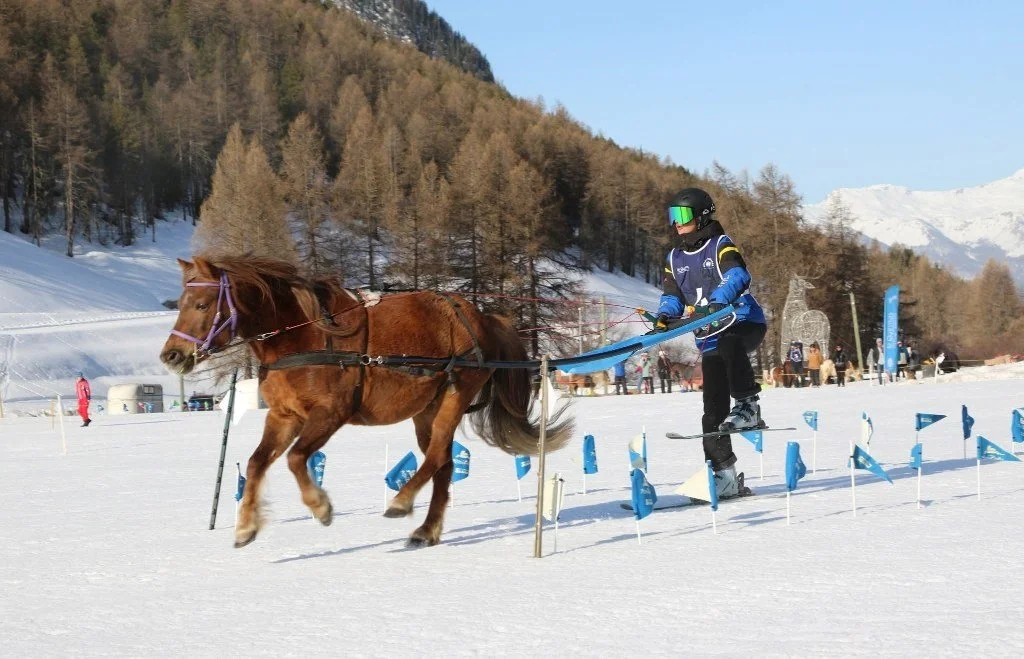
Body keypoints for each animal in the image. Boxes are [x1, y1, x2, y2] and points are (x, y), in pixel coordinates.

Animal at [160, 255, 573, 548]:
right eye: (180, 302)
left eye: (201, 304)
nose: (172, 356)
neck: (302, 335)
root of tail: (482, 317)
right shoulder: (284, 415)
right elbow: (258, 462)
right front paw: (246, 526)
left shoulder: (330, 413)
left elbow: (296, 458)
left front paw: (320, 506)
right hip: (426, 409)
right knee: (442, 462)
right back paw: (427, 530)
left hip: (455, 396)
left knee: (437, 455)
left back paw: (402, 501)